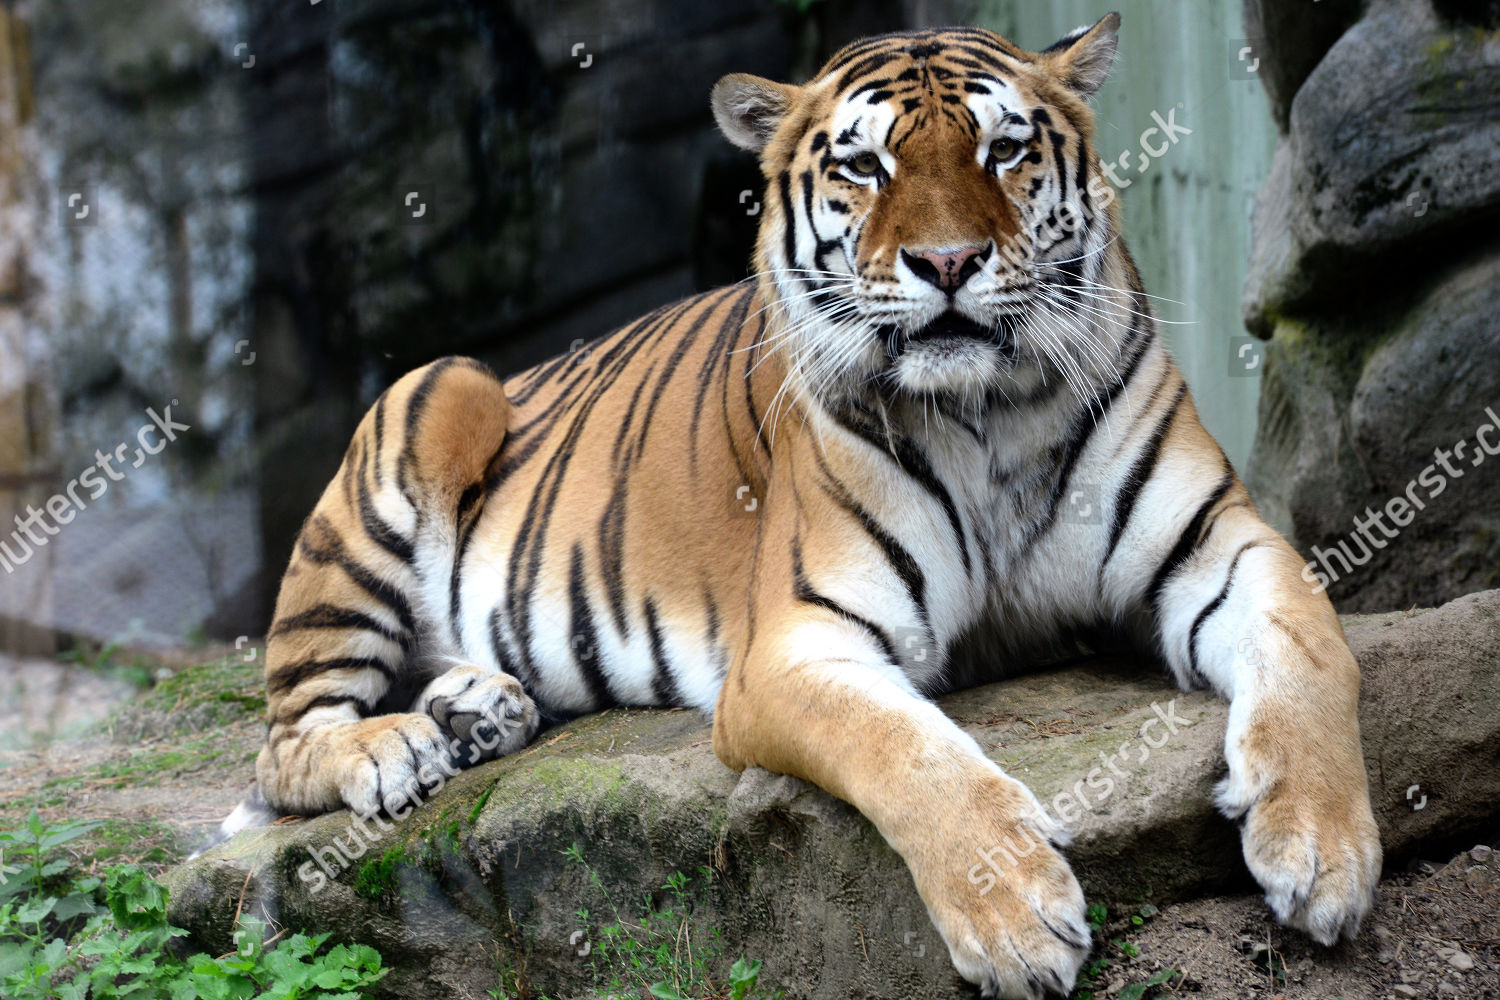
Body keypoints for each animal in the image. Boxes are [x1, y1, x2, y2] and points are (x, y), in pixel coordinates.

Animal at [219, 15, 1380, 1000]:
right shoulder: (799, 644)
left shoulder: (1226, 545)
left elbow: (1312, 653)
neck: (989, 412)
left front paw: (1323, 853)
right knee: (284, 741)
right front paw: (1016, 919)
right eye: (866, 166)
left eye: (1004, 148)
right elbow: (911, 754)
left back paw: (478, 709)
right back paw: (398, 749)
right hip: (436, 393)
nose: (948, 262)